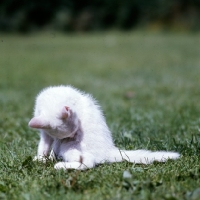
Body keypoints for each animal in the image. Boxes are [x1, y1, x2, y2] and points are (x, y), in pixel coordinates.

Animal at [28, 86, 180, 170]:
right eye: (69, 134)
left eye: (75, 130)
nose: (72, 136)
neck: (51, 101)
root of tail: (109, 150)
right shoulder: (46, 133)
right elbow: (44, 145)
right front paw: (42, 158)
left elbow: (51, 146)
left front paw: (49, 158)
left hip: (69, 147)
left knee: (88, 163)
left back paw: (61, 166)